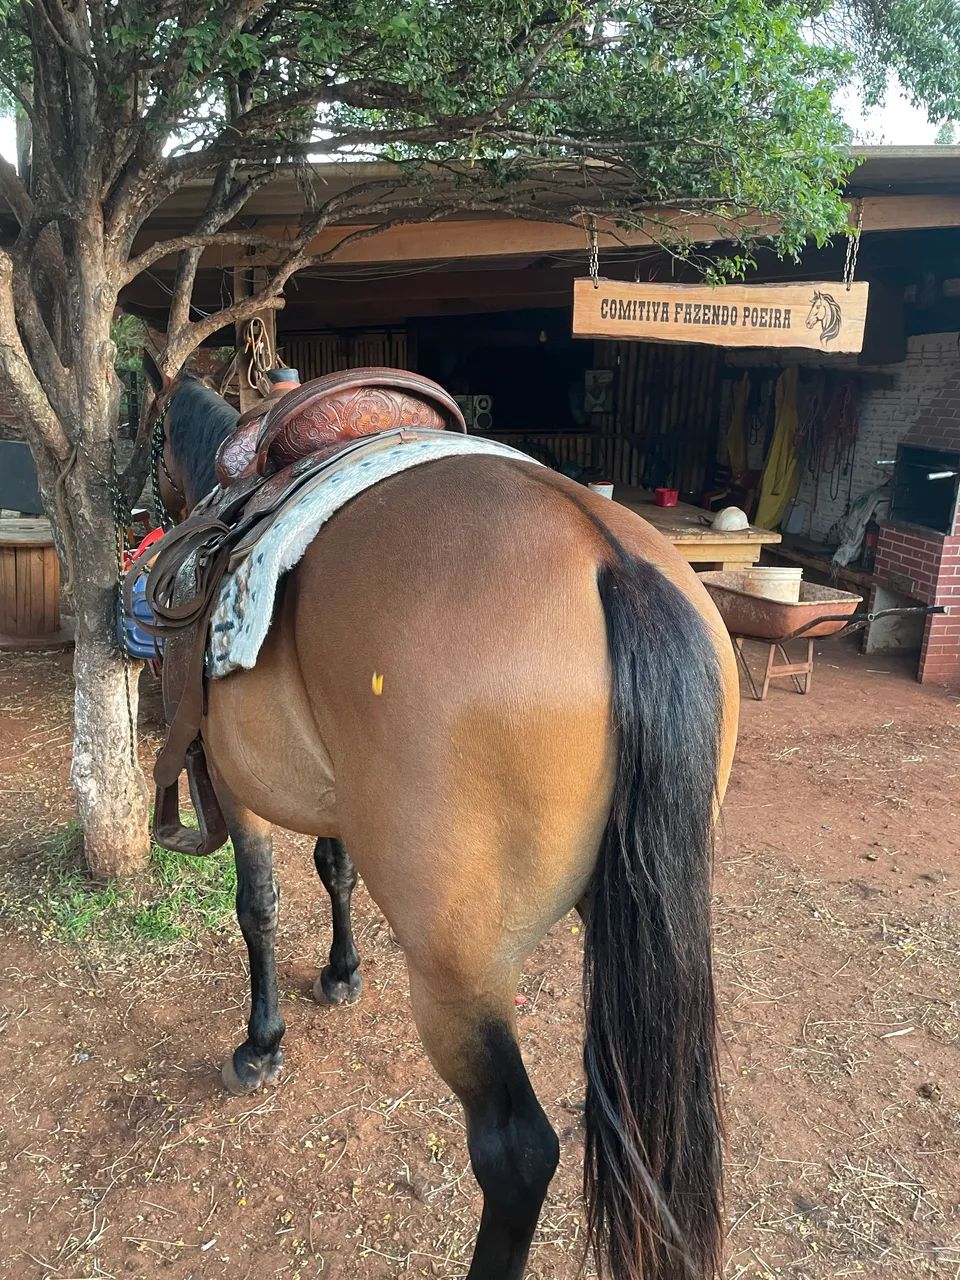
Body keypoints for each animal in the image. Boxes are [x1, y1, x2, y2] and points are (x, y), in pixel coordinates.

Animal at [142, 355, 739, 1280]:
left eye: (144, 434)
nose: (138, 502)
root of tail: (608, 559)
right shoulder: (337, 793)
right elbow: (335, 871)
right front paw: (343, 975)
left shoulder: (237, 786)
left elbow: (258, 906)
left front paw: (262, 1043)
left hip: (461, 978)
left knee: (517, 1152)